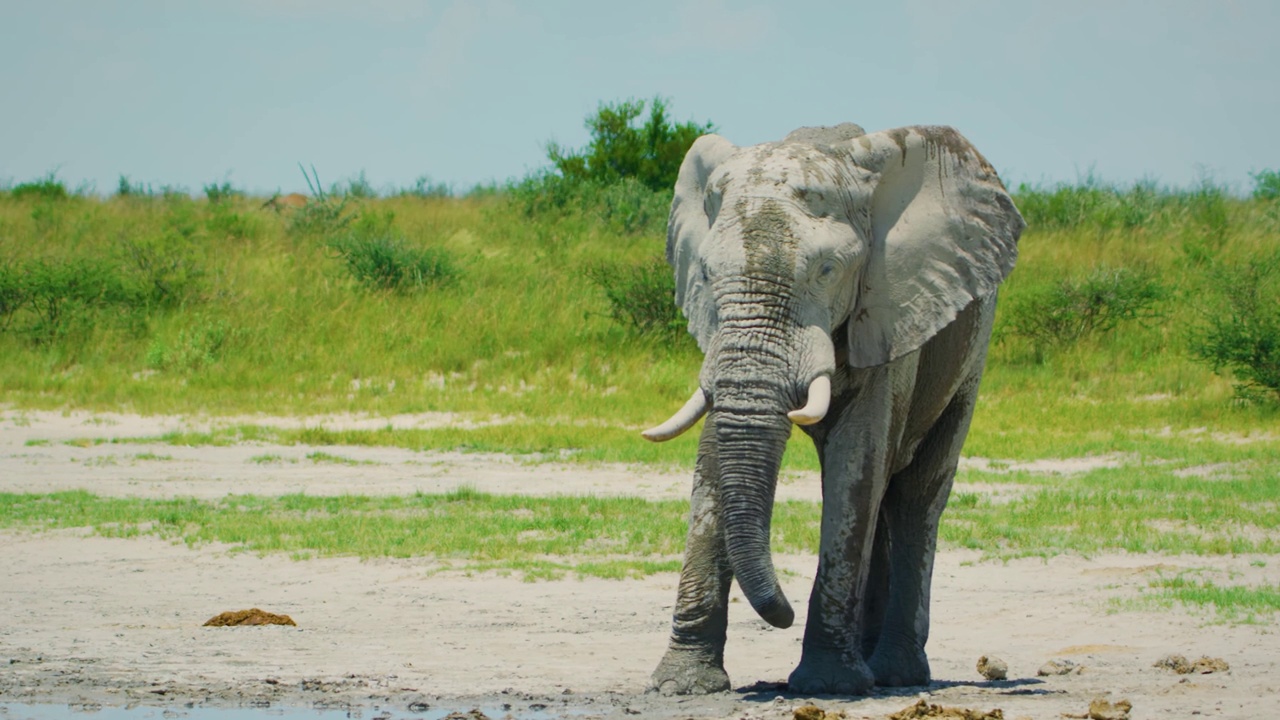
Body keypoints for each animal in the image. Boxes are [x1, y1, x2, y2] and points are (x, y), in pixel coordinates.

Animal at [645, 120, 1024, 691]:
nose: (781, 614)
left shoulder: (890, 306)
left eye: (826, 271)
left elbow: (857, 457)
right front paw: (682, 685)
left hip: (973, 350)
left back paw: (894, 673)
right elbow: (715, 453)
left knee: (915, 493)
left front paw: (828, 685)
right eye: (706, 274)